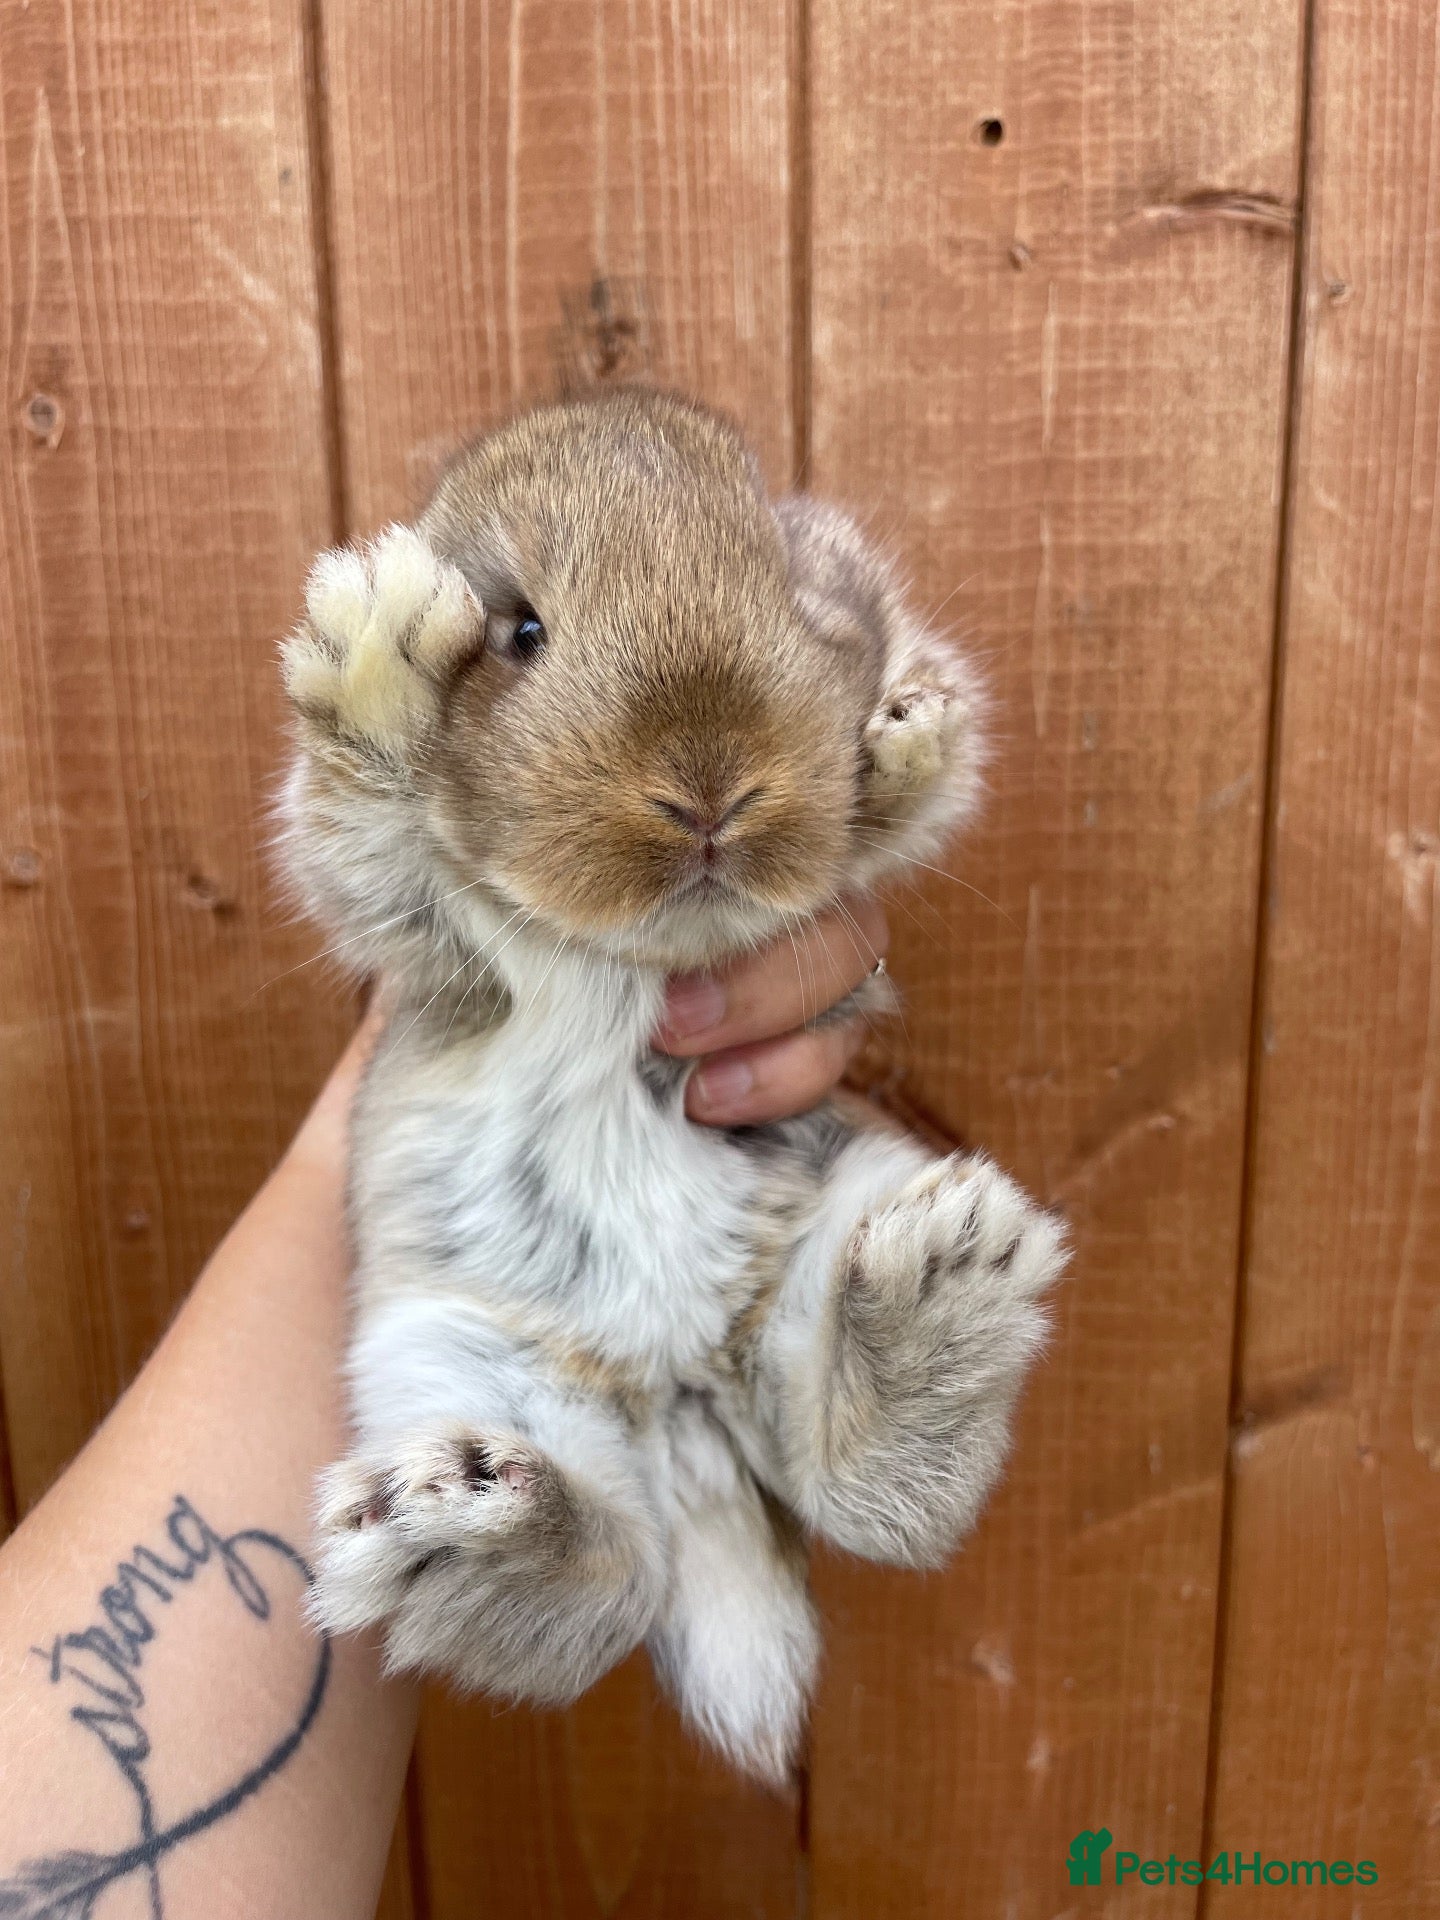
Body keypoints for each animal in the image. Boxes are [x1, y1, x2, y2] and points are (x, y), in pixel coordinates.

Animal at [278, 387, 1068, 1785]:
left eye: (797, 597)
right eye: (521, 631)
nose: (709, 789)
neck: (645, 953)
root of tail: (687, 1399)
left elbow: (906, 810)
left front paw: (910, 731)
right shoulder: (416, 918)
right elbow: (364, 820)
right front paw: (377, 637)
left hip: (834, 1216)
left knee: (864, 1495)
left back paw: (946, 1278)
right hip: (448, 1355)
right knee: (602, 1589)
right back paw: (464, 1525)